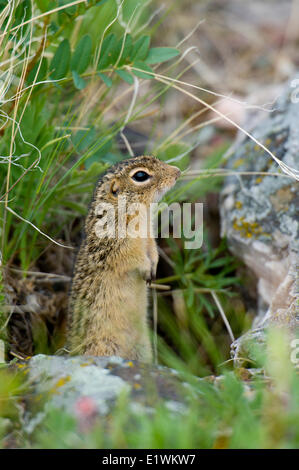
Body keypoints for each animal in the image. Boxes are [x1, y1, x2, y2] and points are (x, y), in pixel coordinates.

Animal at [68, 156, 180, 362]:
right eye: (140, 175)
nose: (177, 171)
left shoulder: (149, 238)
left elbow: (153, 251)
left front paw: (153, 268)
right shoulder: (117, 247)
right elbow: (132, 258)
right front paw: (147, 269)